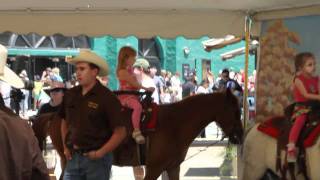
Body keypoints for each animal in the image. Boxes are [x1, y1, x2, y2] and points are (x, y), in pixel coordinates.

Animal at [31, 89, 242, 180]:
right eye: (234, 110)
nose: (239, 136)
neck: (174, 123)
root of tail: (56, 115)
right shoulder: (154, 168)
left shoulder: (173, 167)